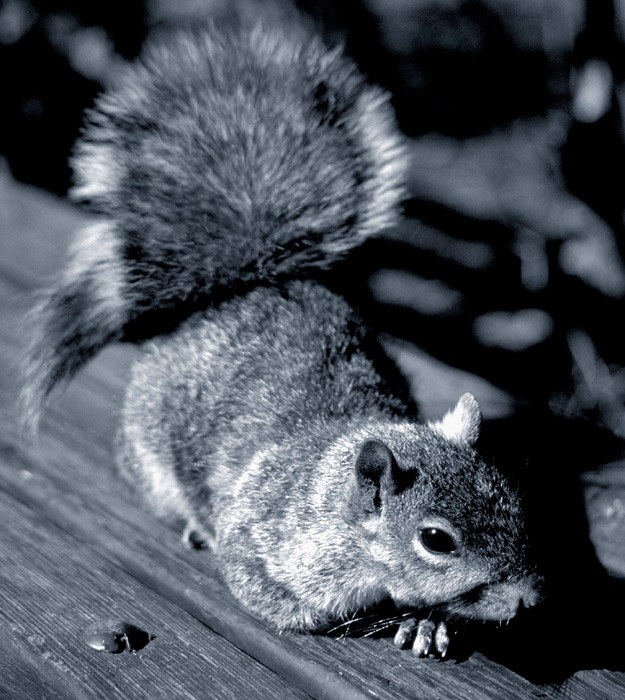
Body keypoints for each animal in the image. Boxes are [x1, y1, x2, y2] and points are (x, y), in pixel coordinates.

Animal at [22, 20, 540, 656]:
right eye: (436, 540)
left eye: (512, 498)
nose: (528, 600)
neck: (340, 516)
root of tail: (252, 284)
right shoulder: (262, 536)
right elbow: (273, 592)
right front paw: (370, 615)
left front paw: (427, 618)